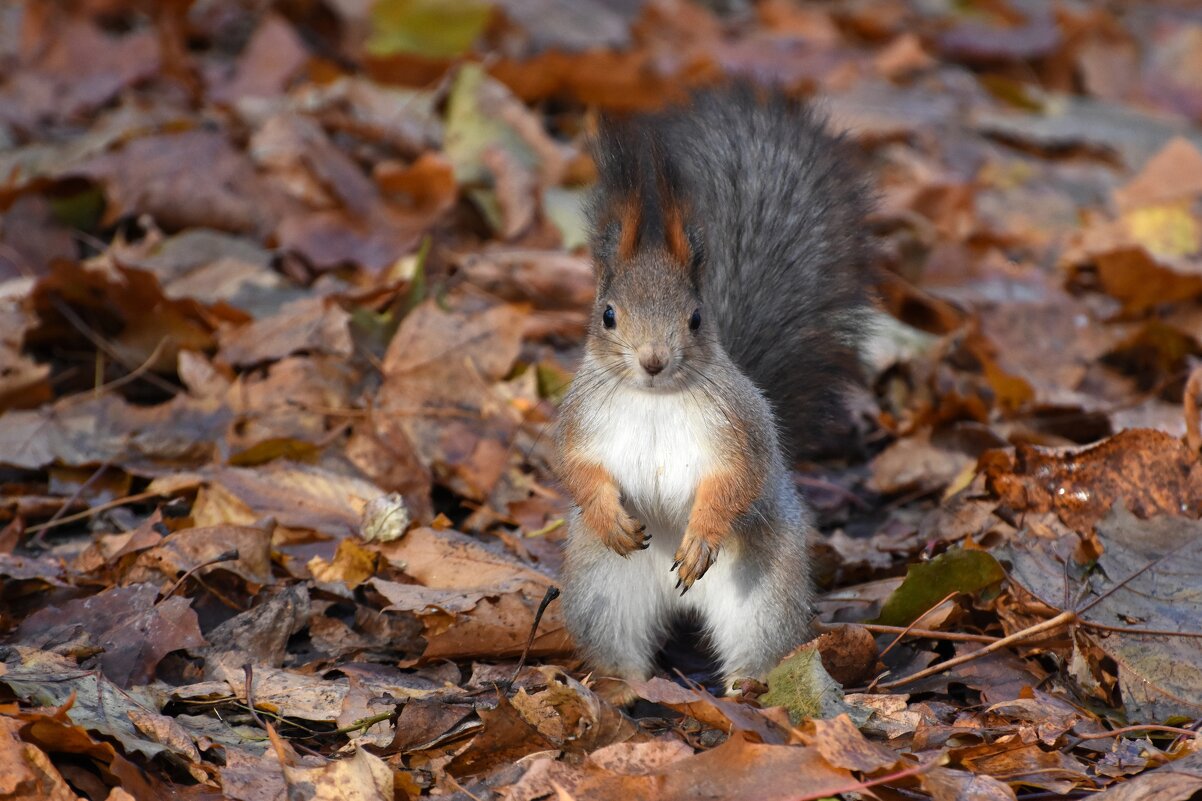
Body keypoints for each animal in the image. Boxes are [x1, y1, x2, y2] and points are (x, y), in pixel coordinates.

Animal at [552, 84, 875, 697]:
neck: (654, 399)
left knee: (758, 648)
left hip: (763, 596)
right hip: (604, 592)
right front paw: (608, 516)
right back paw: (623, 686)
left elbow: (736, 480)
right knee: (619, 643)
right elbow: (577, 470)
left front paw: (701, 536)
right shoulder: (578, 421)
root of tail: (682, 607)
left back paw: (746, 688)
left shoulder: (740, 428)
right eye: (608, 315)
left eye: (697, 318)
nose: (653, 360)